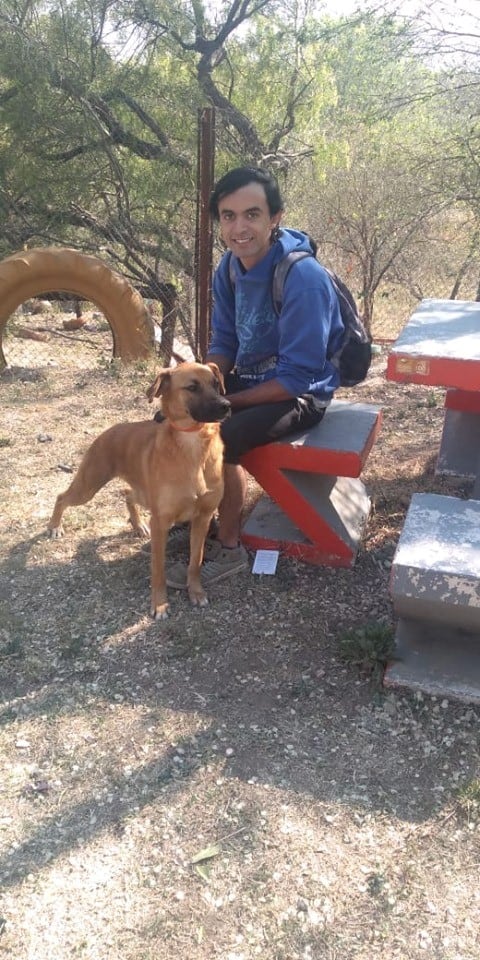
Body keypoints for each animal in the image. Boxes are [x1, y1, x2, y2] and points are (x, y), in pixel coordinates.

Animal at [47, 364, 232, 620]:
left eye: (216, 383)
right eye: (192, 387)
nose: (227, 405)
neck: (192, 444)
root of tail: (111, 429)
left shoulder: (202, 518)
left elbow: (195, 561)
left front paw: (196, 592)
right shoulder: (160, 522)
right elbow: (158, 570)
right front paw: (160, 604)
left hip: (140, 493)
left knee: (126, 492)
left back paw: (137, 524)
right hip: (89, 486)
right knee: (61, 497)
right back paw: (55, 526)